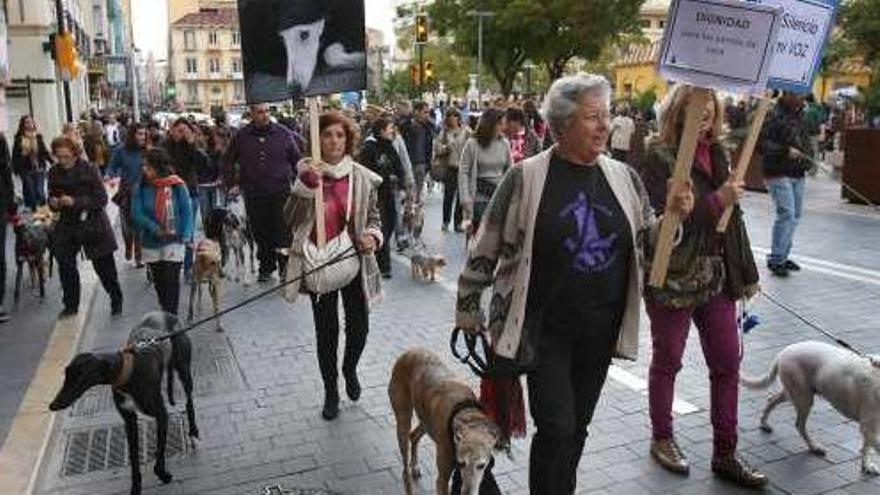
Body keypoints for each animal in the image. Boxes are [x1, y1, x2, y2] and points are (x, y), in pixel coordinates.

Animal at [392, 348, 502, 495]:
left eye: (481, 465)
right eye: (461, 463)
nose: (467, 493)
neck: (466, 414)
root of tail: (408, 352)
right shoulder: (442, 479)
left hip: (427, 420)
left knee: (414, 435)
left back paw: (414, 466)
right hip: (404, 421)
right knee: (405, 468)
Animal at [744, 340, 880, 476]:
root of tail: (783, 353)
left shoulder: (870, 427)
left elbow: (866, 448)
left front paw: (866, 466)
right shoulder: (869, 427)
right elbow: (870, 446)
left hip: (791, 394)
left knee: (771, 399)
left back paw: (764, 423)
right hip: (803, 398)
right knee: (799, 425)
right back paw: (813, 447)